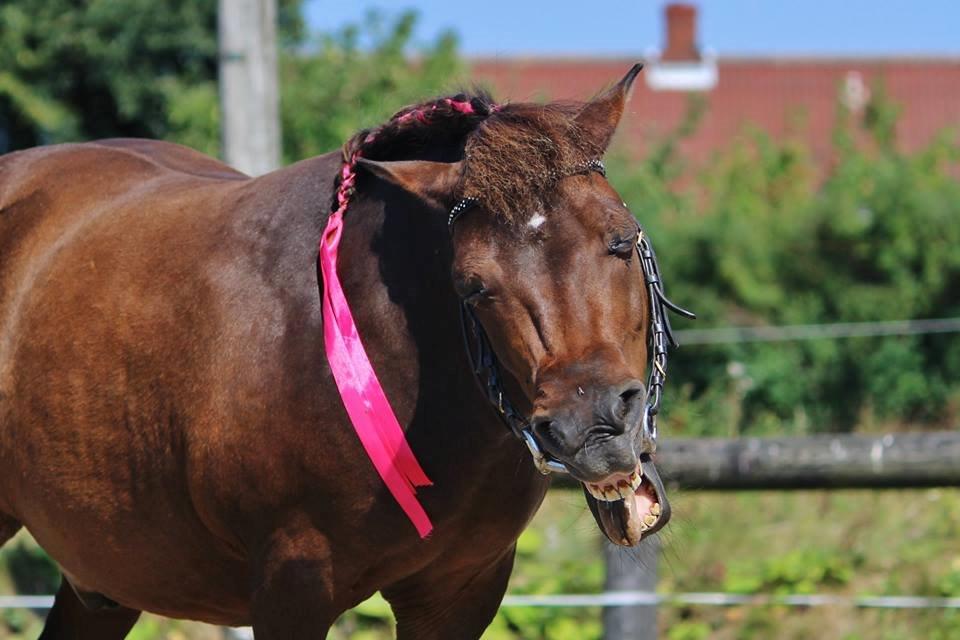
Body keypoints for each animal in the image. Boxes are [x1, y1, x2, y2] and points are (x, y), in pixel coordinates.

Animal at [0, 63, 688, 636]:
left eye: (622, 239)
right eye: (473, 285)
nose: (593, 427)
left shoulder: (459, 591)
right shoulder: (292, 587)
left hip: (107, 579)